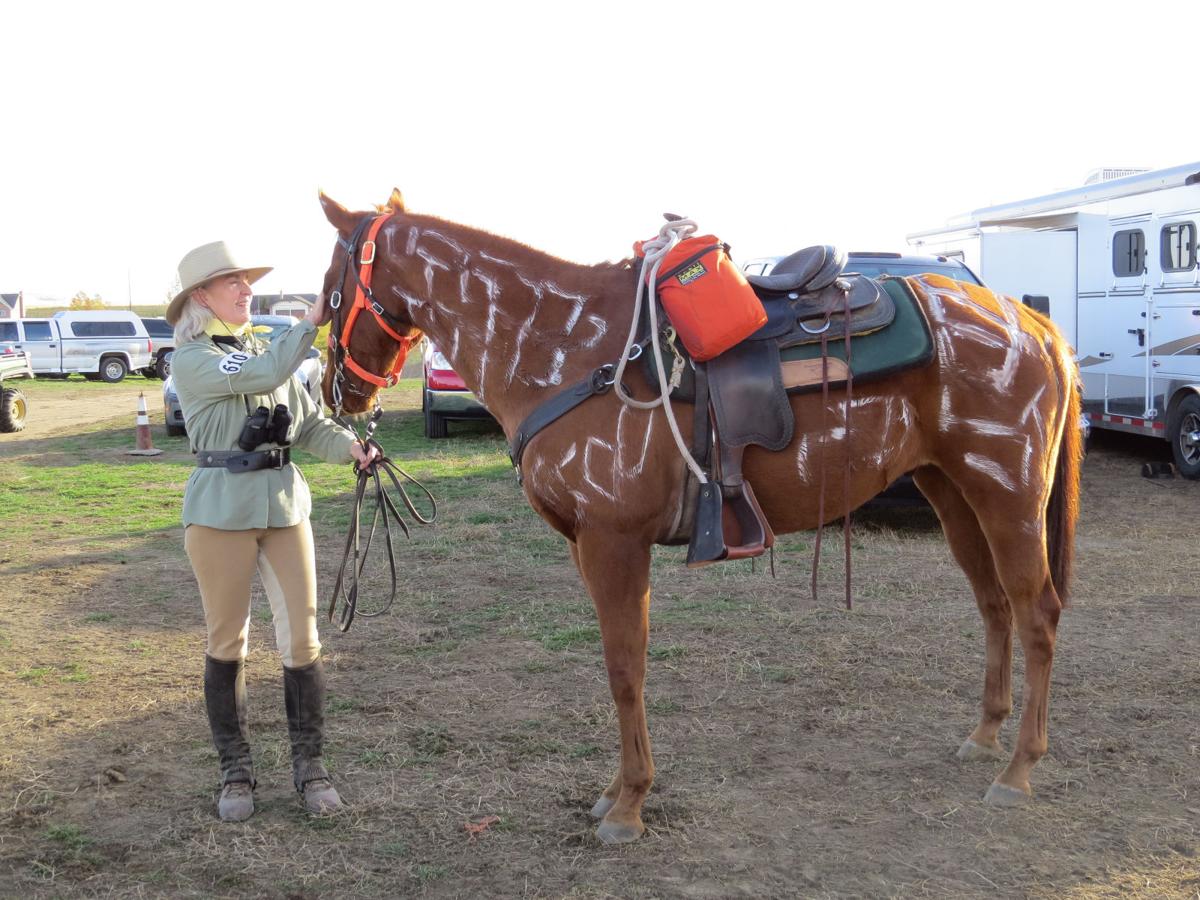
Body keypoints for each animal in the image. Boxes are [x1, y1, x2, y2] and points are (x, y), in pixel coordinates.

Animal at [317, 190, 1082, 844]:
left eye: (331, 289)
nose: (338, 390)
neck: (566, 347)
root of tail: (1033, 323)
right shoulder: (586, 545)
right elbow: (620, 667)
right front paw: (614, 790)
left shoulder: (615, 542)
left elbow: (624, 668)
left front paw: (628, 804)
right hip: (952, 490)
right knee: (993, 605)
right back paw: (983, 738)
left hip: (1007, 491)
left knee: (1037, 611)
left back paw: (1018, 768)